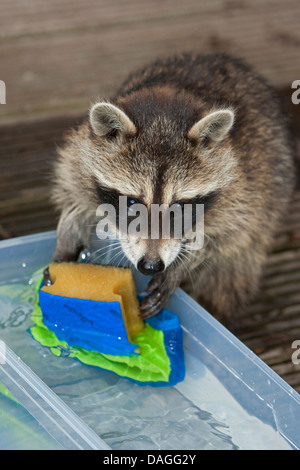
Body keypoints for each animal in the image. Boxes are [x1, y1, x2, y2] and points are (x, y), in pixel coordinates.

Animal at [49, 51, 296, 324]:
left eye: (178, 207)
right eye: (133, 203)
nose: (150, 266)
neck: (164, 114)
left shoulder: (244, 187)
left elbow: (228, 236)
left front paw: (181, 265)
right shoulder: (81, 154)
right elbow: (72, 191)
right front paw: (68, 233)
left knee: (230, 273)